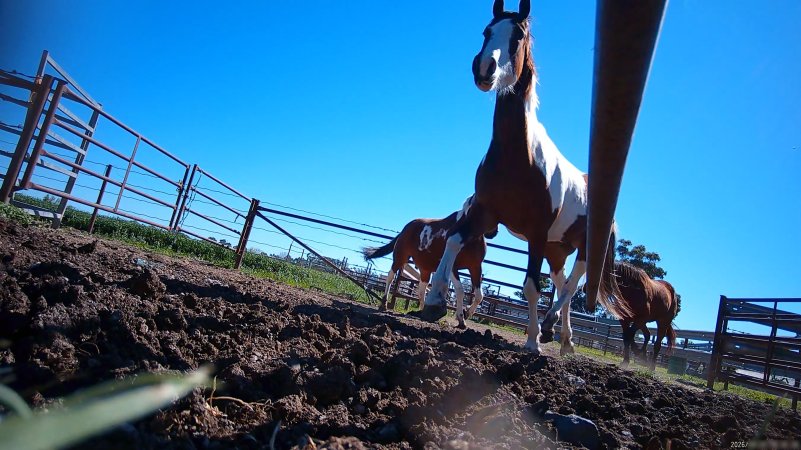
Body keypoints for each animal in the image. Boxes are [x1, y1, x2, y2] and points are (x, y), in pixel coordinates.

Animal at [362, 200, 492, 328]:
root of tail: (406, 228)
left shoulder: (475, 267)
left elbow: (479, 295)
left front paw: (467, 312)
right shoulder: (452, 267)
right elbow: (460, 291)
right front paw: (461, 318)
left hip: (425, 268)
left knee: (421, 288)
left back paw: (421, 311)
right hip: (400, 258)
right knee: (391, 276)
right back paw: (383, 304)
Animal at [420, 0, 631, 356]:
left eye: (517, 36)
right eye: (486, 31)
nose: (484, 68)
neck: (518, 156)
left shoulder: (536, 231)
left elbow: (531, 285)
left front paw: (532, 341)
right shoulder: (485, 213)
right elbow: (452, 241)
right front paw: (435, 300)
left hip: (581, 249)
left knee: (572, 284)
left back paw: (548, 328)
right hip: (556, 249)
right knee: (562, 283)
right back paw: (564, 339)